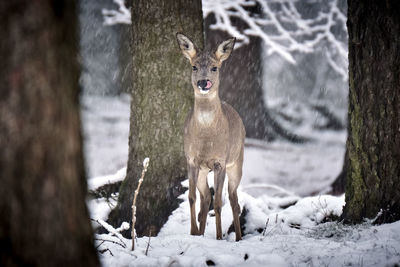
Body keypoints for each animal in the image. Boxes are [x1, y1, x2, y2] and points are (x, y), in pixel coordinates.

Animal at [176, 32, 245, 242]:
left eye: (215, 67)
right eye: (194, 66)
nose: (203, 82)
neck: (207, 139)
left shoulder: (220, 161)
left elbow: (219, 203)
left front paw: (219, 236)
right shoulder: (191, 159)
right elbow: (192, 197)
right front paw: (192, 232)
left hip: (237, 162)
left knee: (233, 199)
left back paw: (238, 237)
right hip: (203, 170)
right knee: (206, 197)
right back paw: (200, 232)